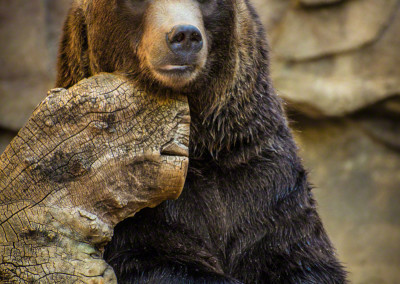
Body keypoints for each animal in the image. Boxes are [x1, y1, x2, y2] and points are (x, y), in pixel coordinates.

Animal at [55, 0, 346, 282]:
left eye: (208, 1)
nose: (184, 35)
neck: (199, 145)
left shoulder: (260, 174)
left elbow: (295, 254)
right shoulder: (129, 189)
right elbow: (153, 257)